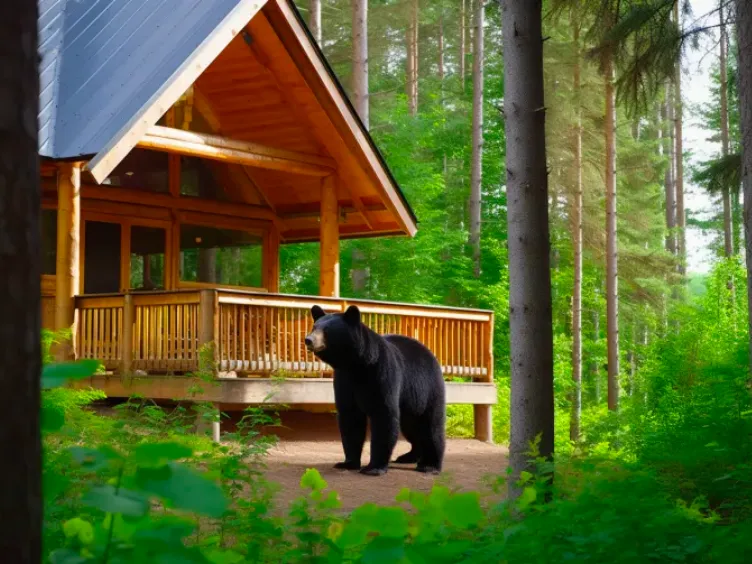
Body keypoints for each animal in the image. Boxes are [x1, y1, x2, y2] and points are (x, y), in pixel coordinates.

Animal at [304, 304, 446, 476]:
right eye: (314, 327)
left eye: (327, 330)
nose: (308, 339)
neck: (356, 364)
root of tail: (430, 353)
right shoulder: (344, 380)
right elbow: (350, 417)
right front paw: (348, 462)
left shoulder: (381, 373)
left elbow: (383, 414)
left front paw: (373, 467)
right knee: (411, 427)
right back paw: (408, 456)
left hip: (428, 389)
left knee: (431, 426)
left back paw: (429, 465)